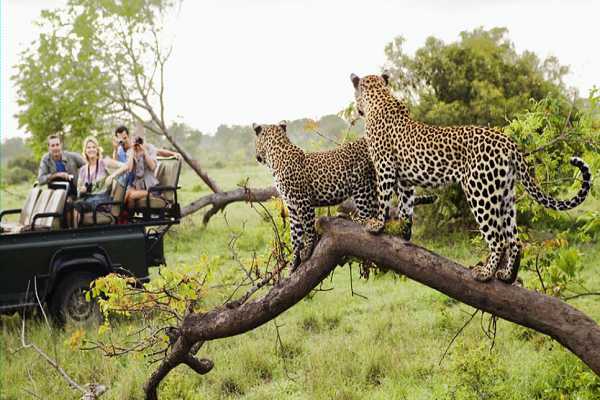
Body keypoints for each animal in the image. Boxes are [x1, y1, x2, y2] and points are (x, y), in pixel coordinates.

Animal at [253, 122, 436, 270]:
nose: (257, 157)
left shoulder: (302, 201)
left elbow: (308, 228)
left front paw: (307, 250)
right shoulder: (291, 206)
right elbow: (295, 234)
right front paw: (292, 264)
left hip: (362, 184)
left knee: (369, 215)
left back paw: (351, 218)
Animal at [352, 72, 592, 284]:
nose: (357, 110)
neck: (380, 97)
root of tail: (509, 143)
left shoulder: (384, 166)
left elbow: (384, 198)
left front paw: (376, 224)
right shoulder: (405, 179)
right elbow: (406, 206)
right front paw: (404, 233)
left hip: (480, 192)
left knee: (498, 239)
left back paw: (485, 273)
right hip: (505, 195)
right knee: (515, 240)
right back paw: (507, 276)